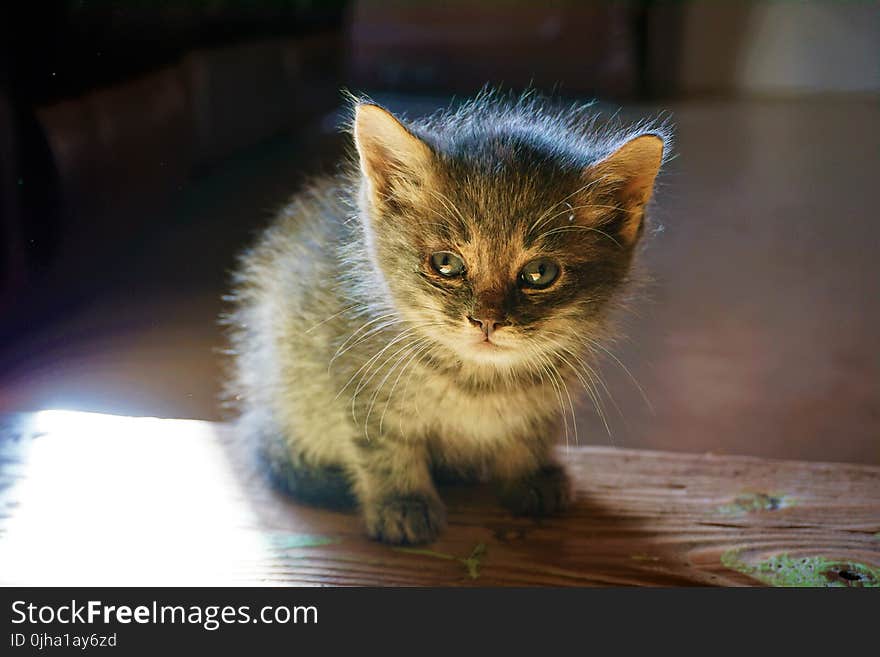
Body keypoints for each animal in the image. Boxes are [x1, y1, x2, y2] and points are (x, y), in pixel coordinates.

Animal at [225, 91, 668, 544]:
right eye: (446, 264)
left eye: (540, 273)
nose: (487, 320)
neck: (479, 382)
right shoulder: (355, 382)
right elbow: (383, 446)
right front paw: (403, 503)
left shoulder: (545, 396)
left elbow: (529, 430)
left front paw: (531, 474)